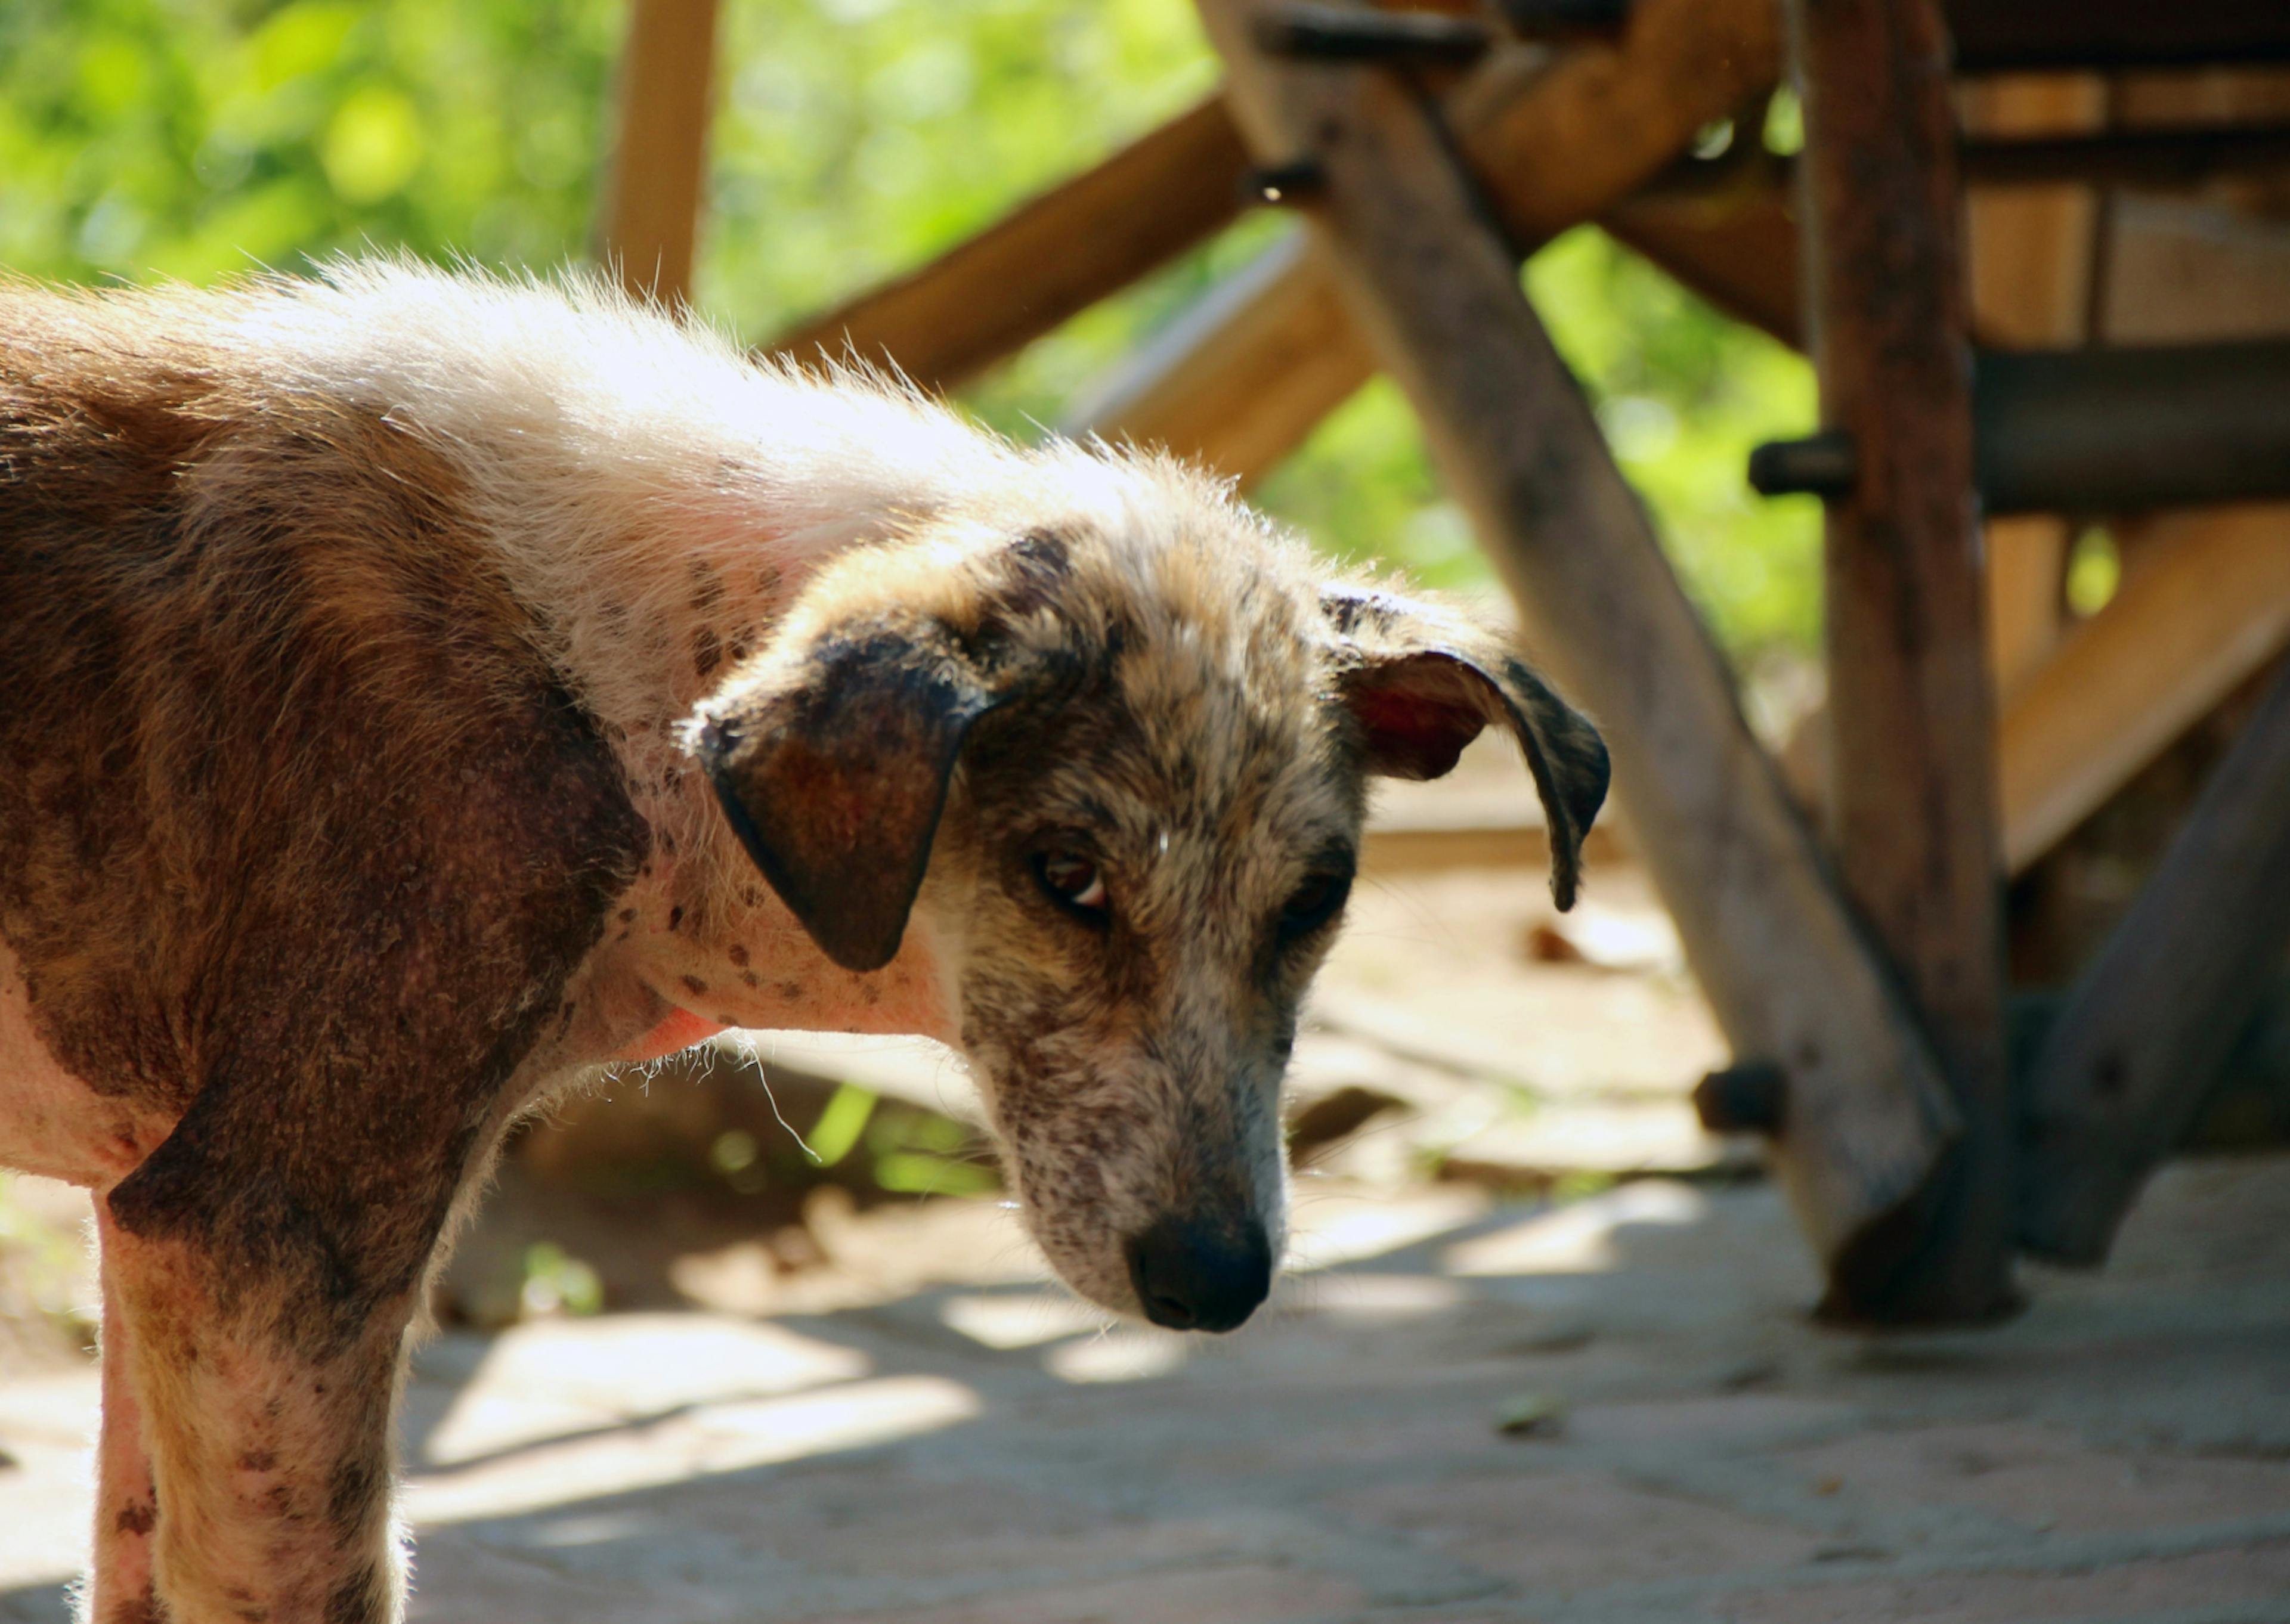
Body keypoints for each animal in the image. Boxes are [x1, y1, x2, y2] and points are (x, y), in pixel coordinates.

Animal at [0, 260, 1612, 1612]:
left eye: (1315, 899)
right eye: (1066, 876)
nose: (1217, 1287)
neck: (620, 659)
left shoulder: (157, 1237)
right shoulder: (264, 1243)